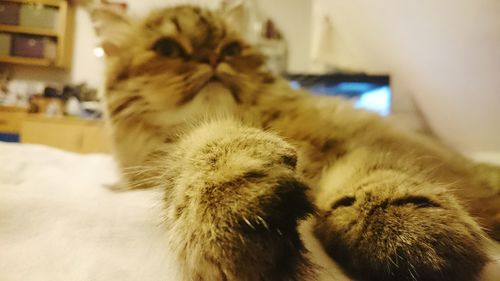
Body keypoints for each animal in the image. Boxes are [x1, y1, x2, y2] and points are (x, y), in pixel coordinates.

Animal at [91, 4, 500, 280]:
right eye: (167, 49)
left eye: (231, 49)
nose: (212, 58)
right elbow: (203, 152)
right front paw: (228, 199)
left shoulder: (352, 145)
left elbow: (378, 178)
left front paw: (400, 224)